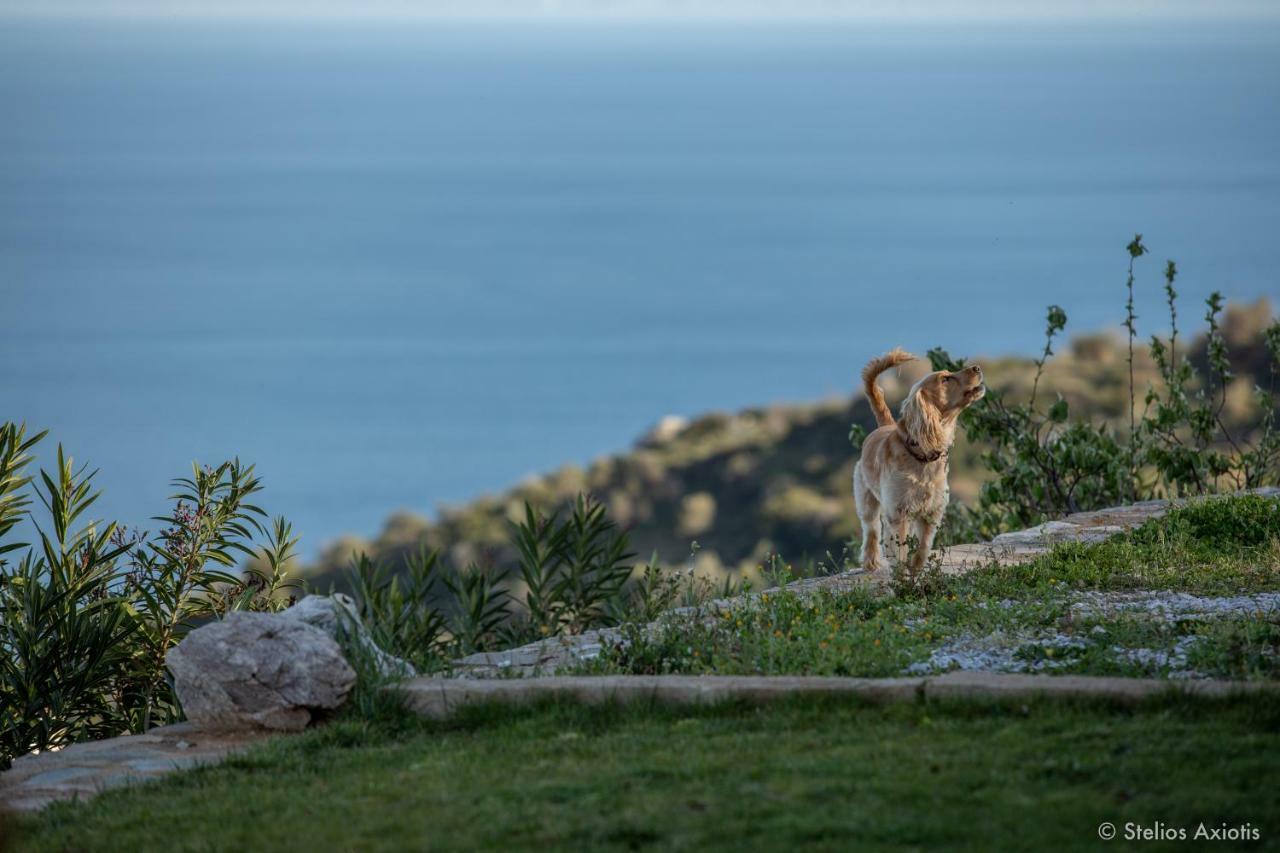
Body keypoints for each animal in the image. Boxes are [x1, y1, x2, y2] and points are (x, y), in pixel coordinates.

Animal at [855, 345, 983, 571]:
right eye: (945, 379)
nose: (977, 367)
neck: (922, 456)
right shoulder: (898, 514)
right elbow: (900, 552)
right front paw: (903, 575)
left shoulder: (931, 513)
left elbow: (922, 549)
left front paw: (915, 570)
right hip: (867, 500)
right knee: (871, 530)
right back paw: (871, 562)